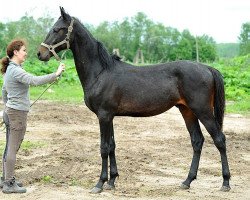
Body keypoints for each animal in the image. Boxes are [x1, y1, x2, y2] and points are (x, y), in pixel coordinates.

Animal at [36, 7, 230, 193]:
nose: (40, 53)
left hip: (203, 111)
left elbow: (104, 147)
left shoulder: (104, 115)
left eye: (57, 29)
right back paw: (187, 181)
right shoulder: (109, 116)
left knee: (219, 139)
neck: (101, 72)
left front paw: (99, 184)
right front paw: (112, 181)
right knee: (197, 141)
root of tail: (207, 68)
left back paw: (225, 183)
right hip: (187, 110)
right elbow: (112, 145)